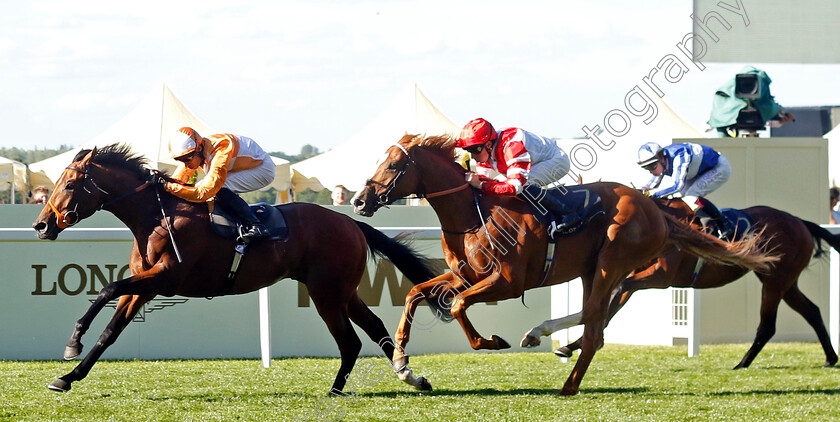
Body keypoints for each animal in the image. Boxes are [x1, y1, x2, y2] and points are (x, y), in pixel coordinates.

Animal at [30, 143, 446, 394]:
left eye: (70, 184)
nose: (41, 225)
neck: (156, 217)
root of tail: (350, 221)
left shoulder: (165, 278)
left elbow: (105, 289)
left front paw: (72, 343)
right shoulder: (144, 288)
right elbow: (109, 332)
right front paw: (68, 375)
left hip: (326, 293)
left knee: (351, 340)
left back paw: (337, 389)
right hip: (341, 290)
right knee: (373, 327)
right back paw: (410, 376)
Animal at [352, 134, 776, 396]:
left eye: (394, 166)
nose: (358, 200)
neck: (472, 214)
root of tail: (657, 210)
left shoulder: (508, 282)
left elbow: (457, 306)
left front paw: (491, 341)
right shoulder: (463, 275)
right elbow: (414, 294)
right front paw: (404, 367)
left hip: (611, 263)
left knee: (595, 322)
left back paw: (564, 378)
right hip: (593, 270)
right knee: (594, 320)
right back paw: (543, 340)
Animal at [540, 199, 840, 368]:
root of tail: (800, 222)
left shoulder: (659, 278)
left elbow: (614, 298)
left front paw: (579, 343)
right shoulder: (632, 276)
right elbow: (611, 304)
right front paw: (572, 345)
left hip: (776, 281)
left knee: (768, 325)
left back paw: (742, 364)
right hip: (783, 280)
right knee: (811, 311)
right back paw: (829, 358)